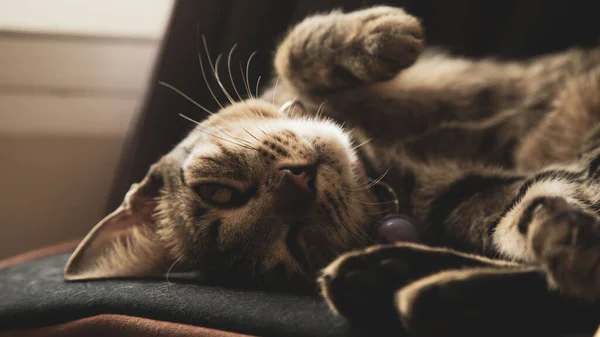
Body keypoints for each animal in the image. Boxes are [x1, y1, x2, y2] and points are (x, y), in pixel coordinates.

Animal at [63, 5, 600, 336]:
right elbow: (529, 208)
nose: (297, 181)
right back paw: (397, 285)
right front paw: (564, 237)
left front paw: (380, 34)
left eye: (217, 192)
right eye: (293, 243)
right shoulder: (479, 196)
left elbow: (290, 50)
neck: (384, 163)